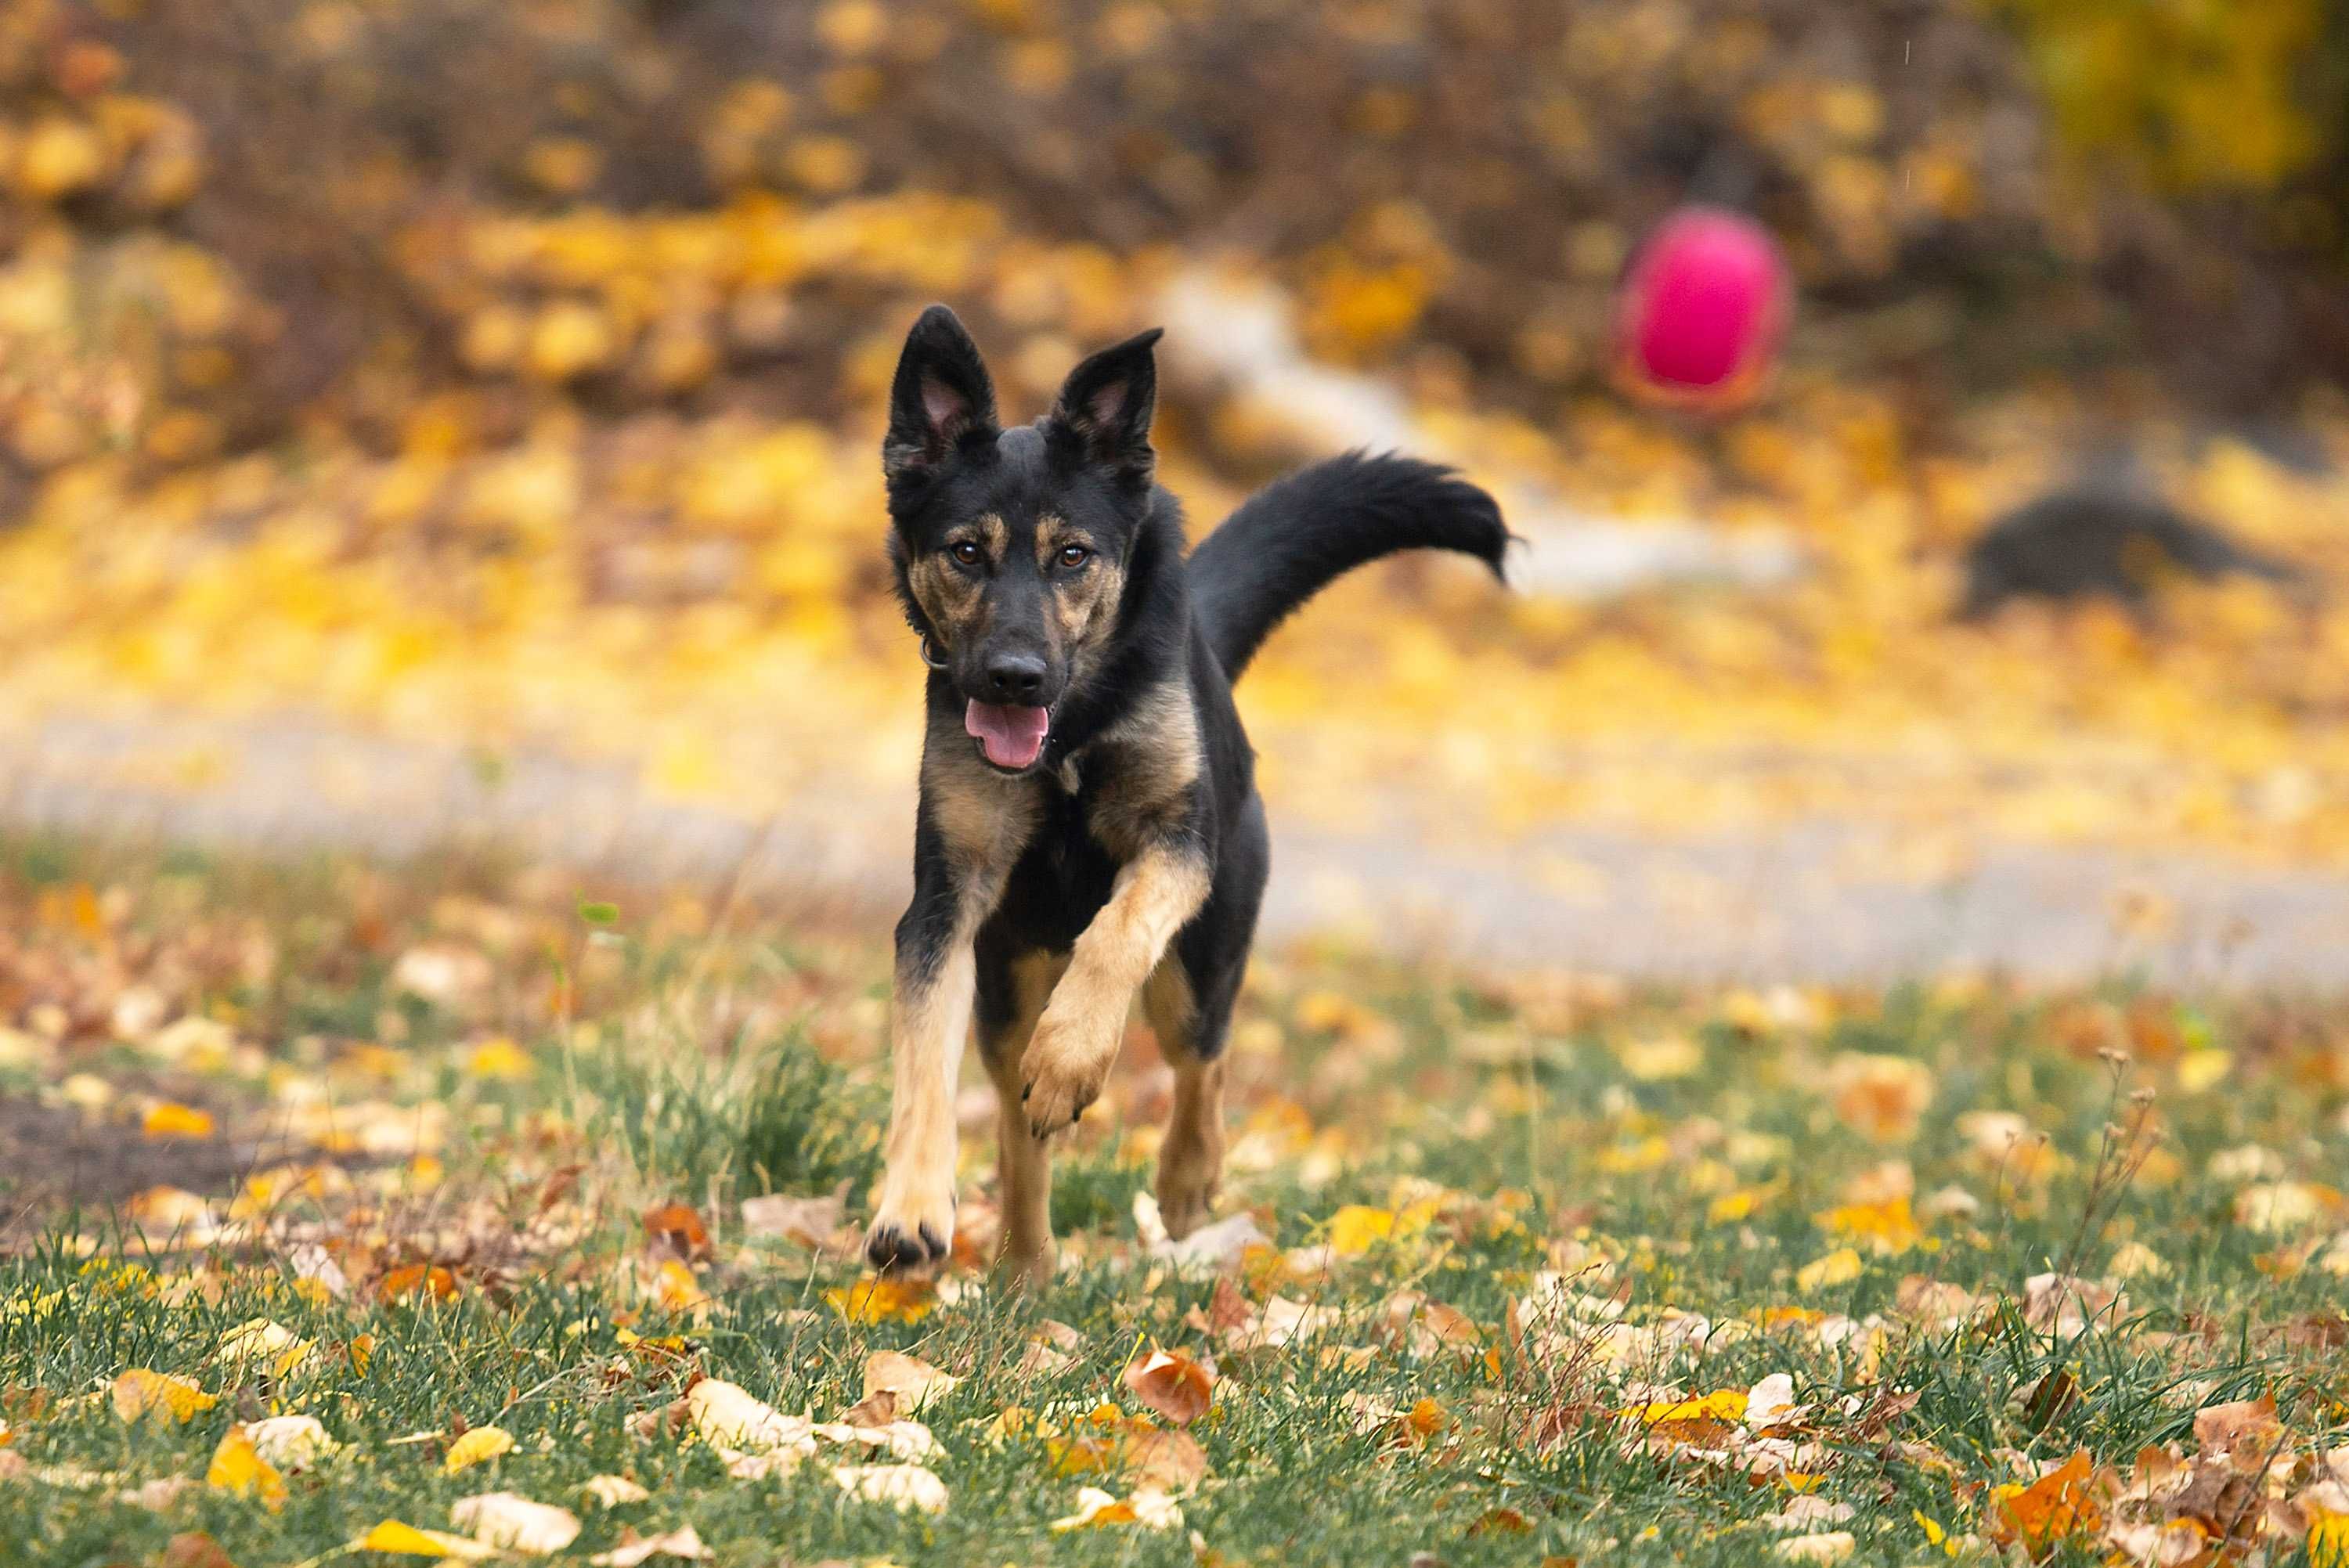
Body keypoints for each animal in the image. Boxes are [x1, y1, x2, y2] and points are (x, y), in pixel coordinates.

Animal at [864, 305, 1503, 1286]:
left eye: (1073, 556)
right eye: (967, 552)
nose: (1014, 678)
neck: (1074, 729)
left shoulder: (1177, 846)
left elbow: (1117, 932)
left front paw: (1076, 1052)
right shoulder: (944, 902)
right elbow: (924, 1051)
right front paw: (911, 1203)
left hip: (1199, 961)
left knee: (1203, 1059)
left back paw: (1183, 1180)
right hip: (1008, 985)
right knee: (1017, 1117)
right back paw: (1024, 1260)